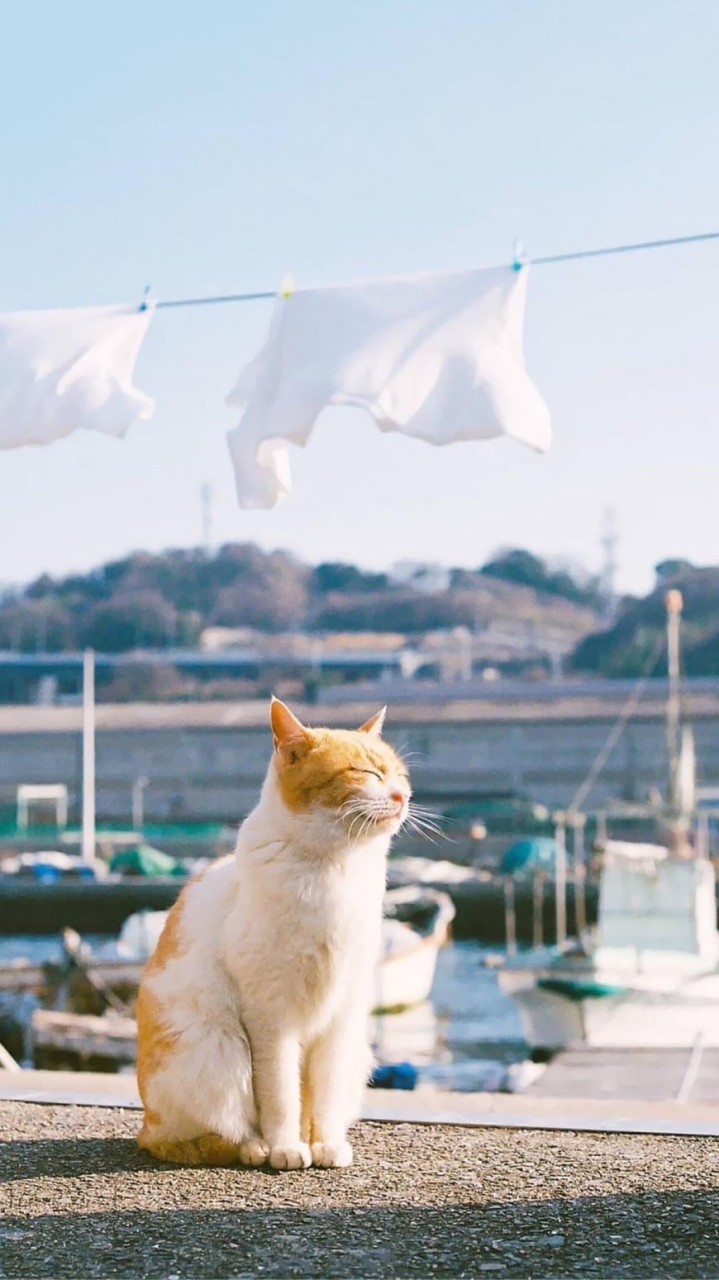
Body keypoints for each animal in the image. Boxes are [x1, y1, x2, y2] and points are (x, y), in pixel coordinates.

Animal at [134, 701, 409, 1172]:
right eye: (365, 772)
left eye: (399, 774)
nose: (401, 796)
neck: (333, 869)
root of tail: (145, 1125)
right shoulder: (270, 1017)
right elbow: (280, 1094)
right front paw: (285, 1147)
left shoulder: (342, 1014)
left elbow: (322, 1097)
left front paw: (325, 1144)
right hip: (216, 1051)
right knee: (204, 1133)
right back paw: (255, 1147)